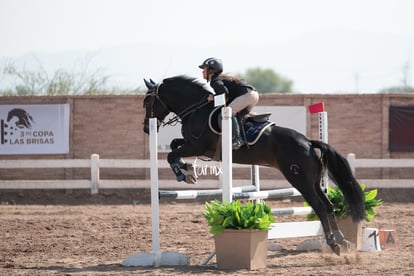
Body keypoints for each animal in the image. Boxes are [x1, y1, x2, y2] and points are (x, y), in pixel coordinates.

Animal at [143, 75, 366, 254]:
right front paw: (187, 169)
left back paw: (334, 244)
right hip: (314, 182)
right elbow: (174, 145)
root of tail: (309, 142)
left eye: (147, 101)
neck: (196, 109)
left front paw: (184, 174)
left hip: (300, 181)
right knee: (328, 205)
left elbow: (171, 154)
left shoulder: (197, 146)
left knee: (319, 207)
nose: (146, 128)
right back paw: (342, 241)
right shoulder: (193, 145)